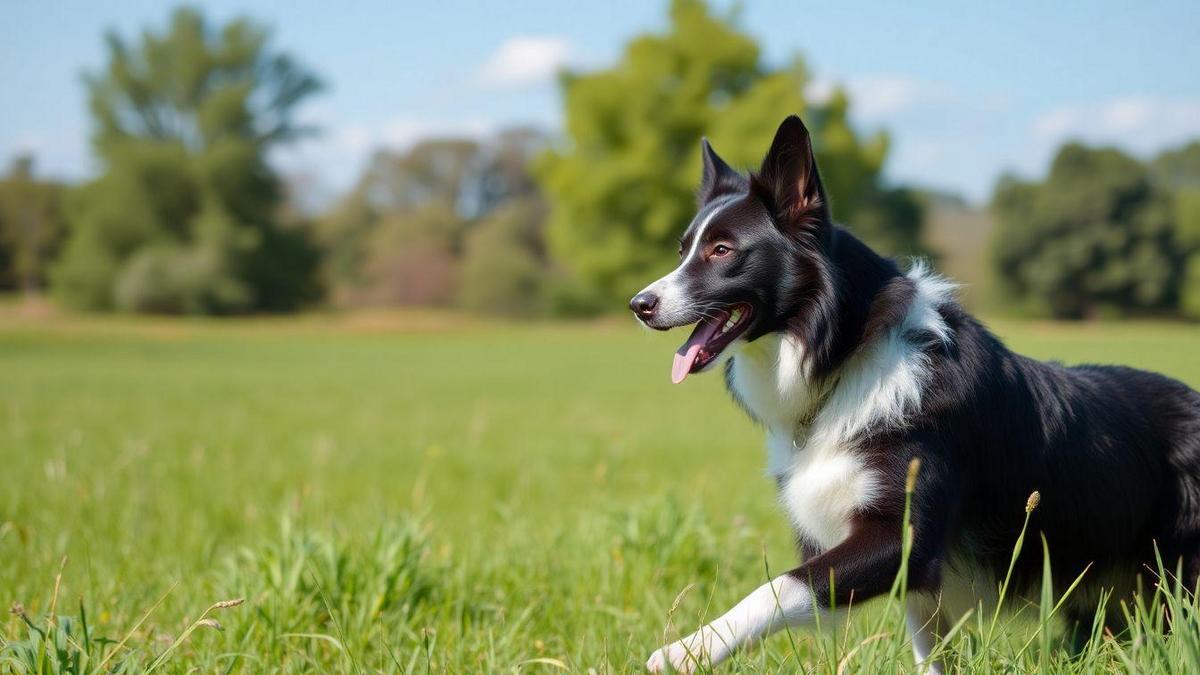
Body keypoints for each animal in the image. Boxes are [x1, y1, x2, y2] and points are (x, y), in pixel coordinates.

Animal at [628, 112, 1200, 667]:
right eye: (683, 251)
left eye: (722, 250)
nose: (640, 305)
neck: (845, 358)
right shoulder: (918, 580)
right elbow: (929, 649)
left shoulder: (903, 538)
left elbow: (778, 588)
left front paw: (687, 650)